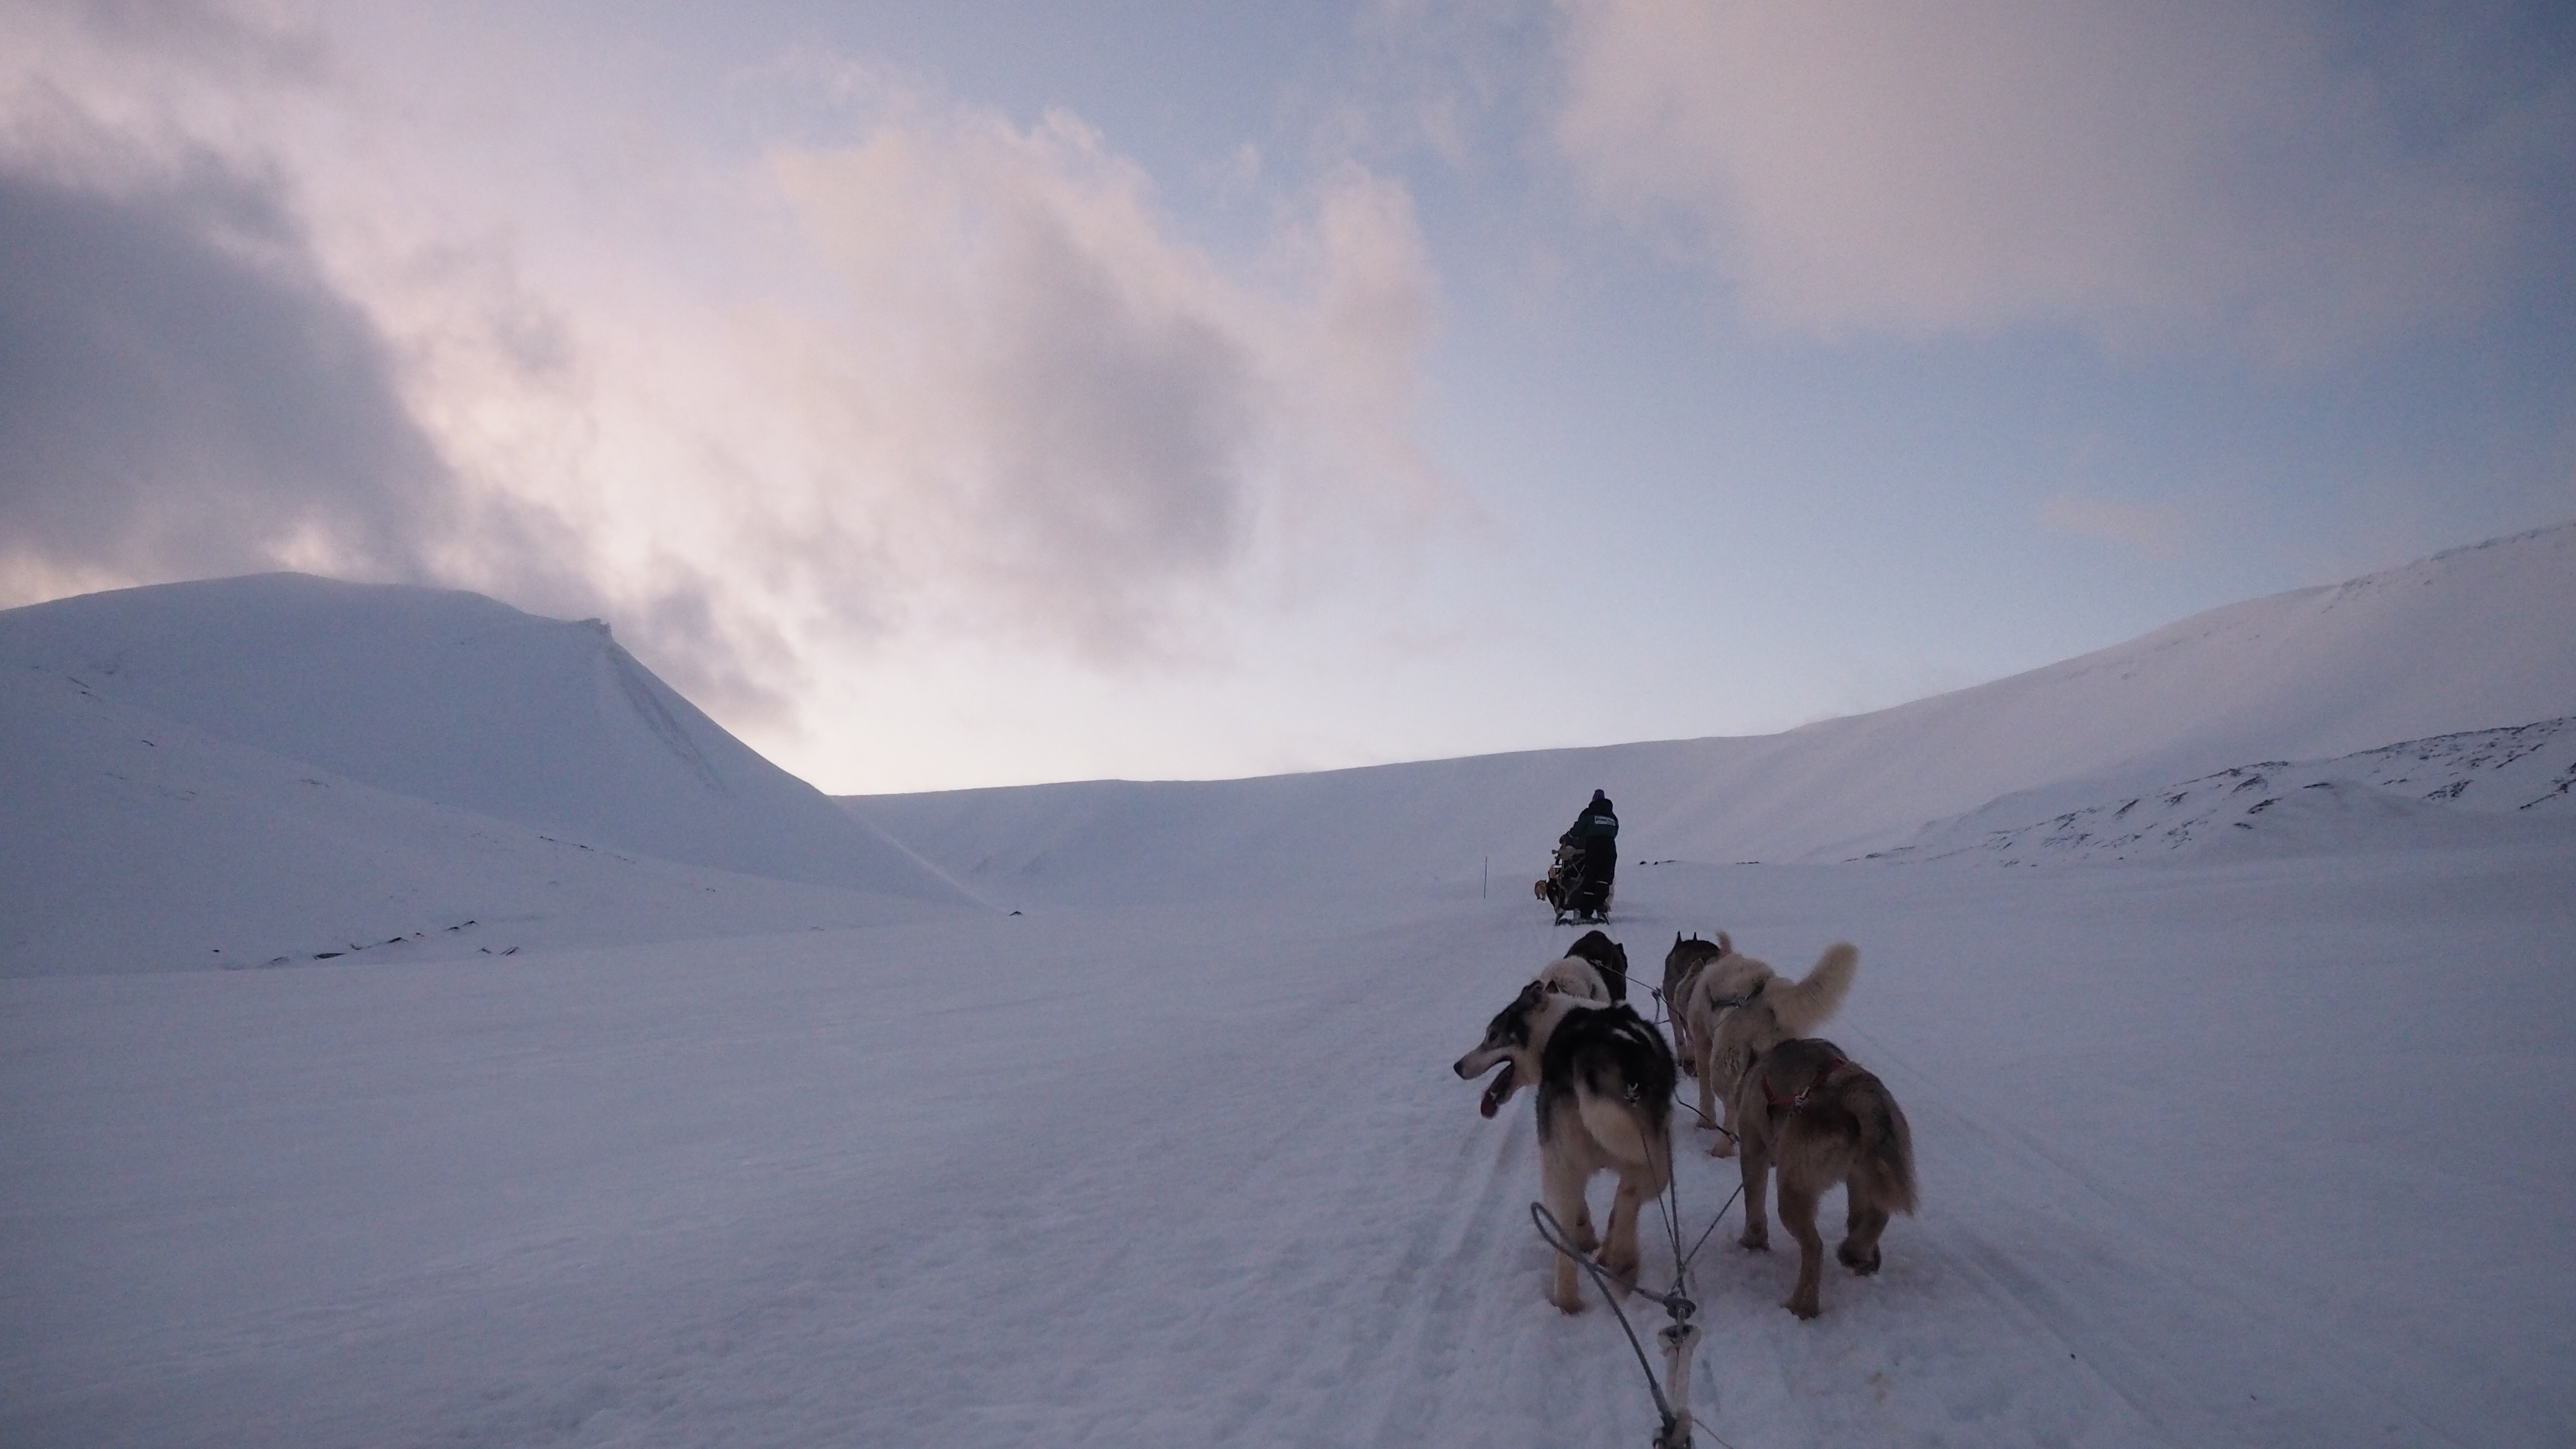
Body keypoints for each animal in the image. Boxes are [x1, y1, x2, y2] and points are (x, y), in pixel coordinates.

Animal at [1453, 983, 1679, 1312]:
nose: (1457, 1067)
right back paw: (1613, 1271)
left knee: (1576, 1230)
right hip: (1645, 1154)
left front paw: (1598, 1246)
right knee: (1621, 1202)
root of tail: (1589, 1051)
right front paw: (1603, 1249)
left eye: (1492, 1036)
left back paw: (1581, 1292)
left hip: (1569, 1163)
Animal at [1680, 942, 1857, 1155]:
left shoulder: (1703, 1045)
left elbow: (1706, 1094)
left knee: (1731, 1107)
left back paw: (1722, 1148)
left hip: (1724, 1066)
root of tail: (1769, 991)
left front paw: (1704, 1122)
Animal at [1730, 1036, 1916, 1319]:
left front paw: (1752, 1242)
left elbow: (1753, 1204)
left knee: (1815, 1248)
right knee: (1873, 1217)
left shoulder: (1753, 1150)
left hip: (1793, 1191)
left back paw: (1802, 1306)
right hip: (1865, 1175)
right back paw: (1856, 1253)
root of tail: (1851, 1087)